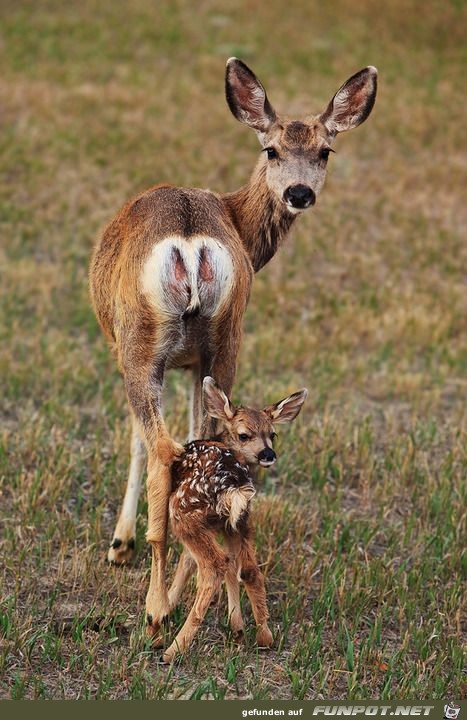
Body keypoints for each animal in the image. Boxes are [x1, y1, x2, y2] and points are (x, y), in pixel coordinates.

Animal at [161, 376, 308, 664]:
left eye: (272, 434)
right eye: (244, 435)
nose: (268, 454)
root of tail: (232, 485)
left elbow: (191, 561)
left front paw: (168, 605)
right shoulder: (228, 523)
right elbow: (233, 567)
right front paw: (237, 627)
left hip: (183, 511)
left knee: (214, 566)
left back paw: (173, 649)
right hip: (242, 518)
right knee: (249, 569)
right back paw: (264, 637)